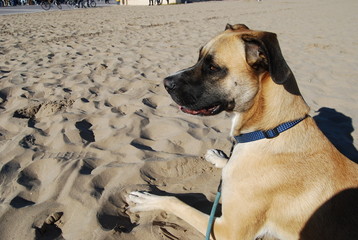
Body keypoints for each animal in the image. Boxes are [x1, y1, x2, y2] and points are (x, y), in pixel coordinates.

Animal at [126, 24, 358, 240]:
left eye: (213, 67)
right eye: (199, 58)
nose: (166, 83)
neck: (269, 130)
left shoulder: (226, 230)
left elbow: (177, 201)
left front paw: (150, 200)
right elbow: (227, 164)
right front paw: (218, 156)